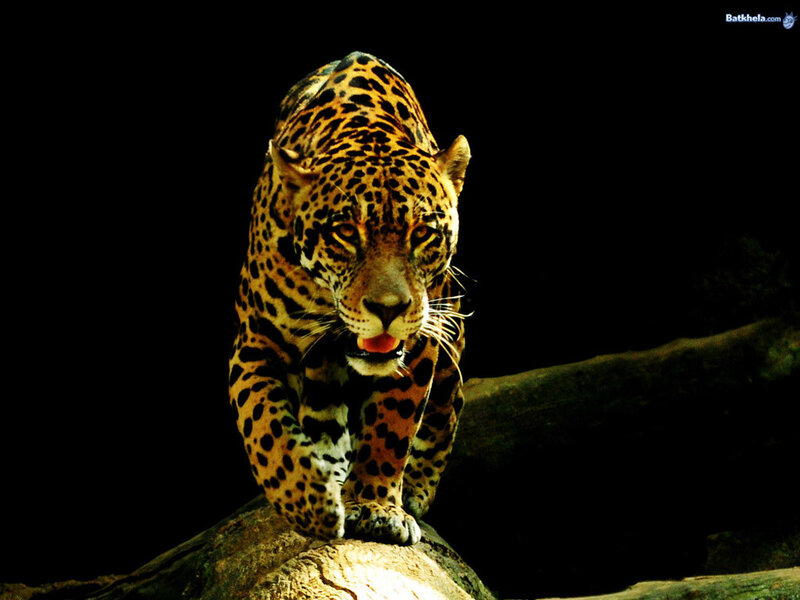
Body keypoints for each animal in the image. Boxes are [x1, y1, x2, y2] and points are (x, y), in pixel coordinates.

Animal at [229, 51, 470, 545]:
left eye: (422, 233)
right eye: (344, 232)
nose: (388, 309)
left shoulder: (419, 342)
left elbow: (393, 424)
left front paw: (377, 506)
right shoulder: (256, 343)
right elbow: (264, 428)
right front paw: (309, 505)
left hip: (447, 329)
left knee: (446, 404)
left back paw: (416, 486)